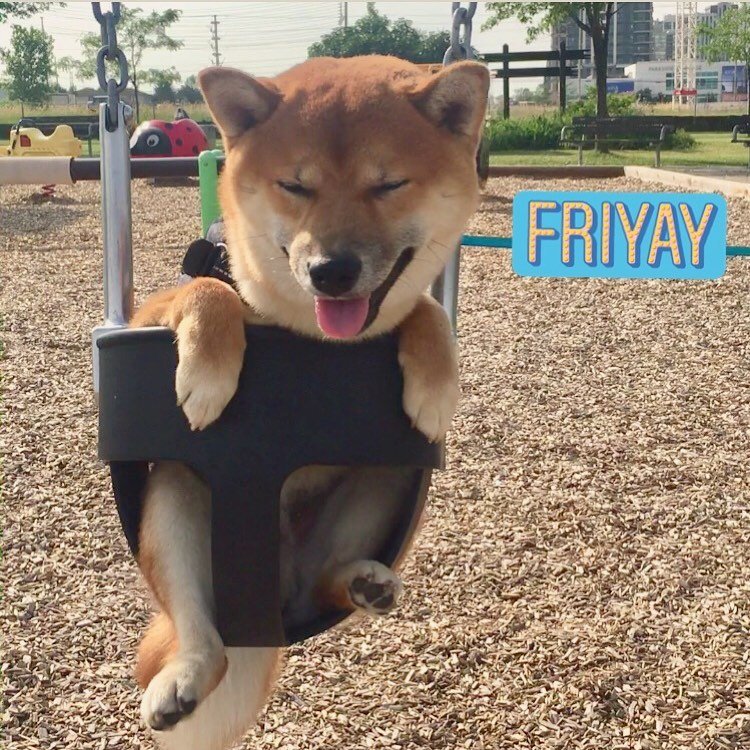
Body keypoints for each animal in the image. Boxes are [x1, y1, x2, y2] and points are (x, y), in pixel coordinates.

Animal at [128, 54, 494, 750]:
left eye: (389, 185)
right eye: (295, 187)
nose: (331, 270)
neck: (307, 333)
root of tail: (274, 593)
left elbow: (427, 310)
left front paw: (436, 386)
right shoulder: (147, 315)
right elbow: (211, 294)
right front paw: (209, 374)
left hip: (382, 478)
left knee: (325, 589)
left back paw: (361, 582)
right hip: (176, 498)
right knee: (203, 635)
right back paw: (185, 677)